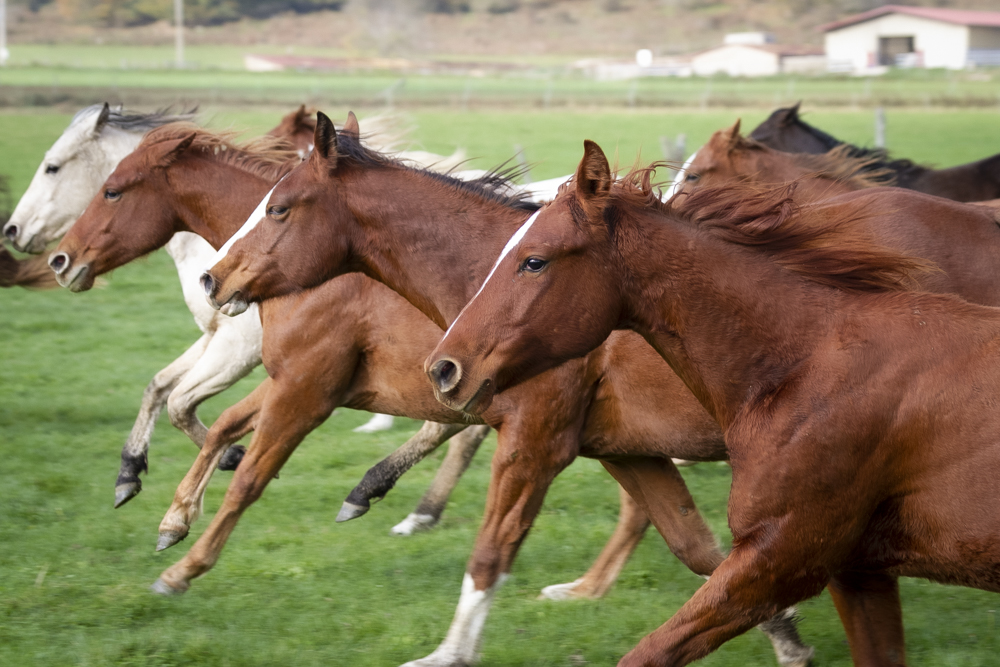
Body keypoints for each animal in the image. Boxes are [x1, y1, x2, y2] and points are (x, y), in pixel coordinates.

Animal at [50, 121, 812, 667]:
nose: (59, 258)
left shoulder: (319, 387)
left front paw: (181, 561)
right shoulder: (615, 445)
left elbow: (252, 471)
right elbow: (699, 548)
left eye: (112, 189)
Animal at [426, 142, 1000, 667]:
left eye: (534, 261)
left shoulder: (783, 557)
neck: (805, 364)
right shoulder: (859, 574)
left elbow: (647, 653)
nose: (443, 367)